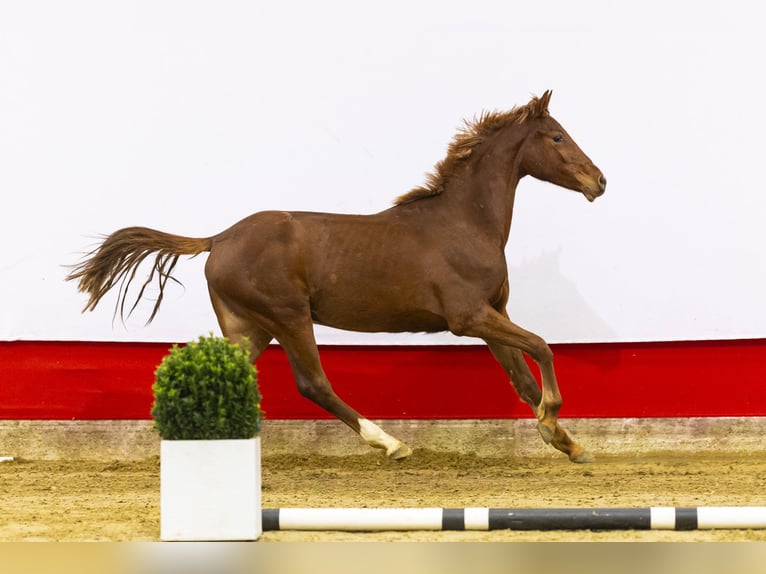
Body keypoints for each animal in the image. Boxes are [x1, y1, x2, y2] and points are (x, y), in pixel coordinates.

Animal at [66, 92, 608, 466]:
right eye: (557, 136)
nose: (599, 181)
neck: (463, 222)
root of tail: (218, 239)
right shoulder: (468, 316)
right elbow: (542, 347)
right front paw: (552, 421)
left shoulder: (493, 313)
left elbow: (522, 377)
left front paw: (569, 443)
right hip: (288, 317)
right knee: (314, 384)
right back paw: (390, 443)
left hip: (248, 326)